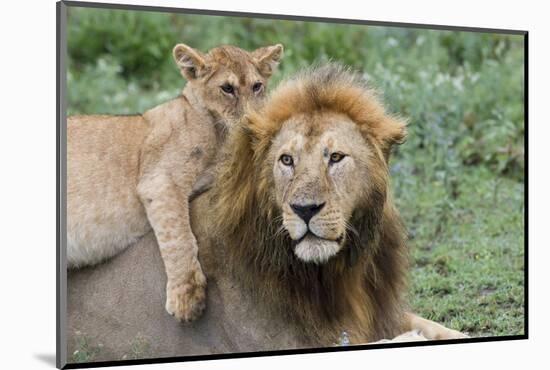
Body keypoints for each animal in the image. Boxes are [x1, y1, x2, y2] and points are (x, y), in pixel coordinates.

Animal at [66, 42, 284, 324]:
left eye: (257, 86)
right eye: (227, 88)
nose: (251, 120)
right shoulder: (160, 179)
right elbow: (178, 235)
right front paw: (187, 298)